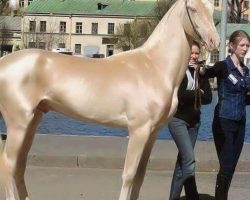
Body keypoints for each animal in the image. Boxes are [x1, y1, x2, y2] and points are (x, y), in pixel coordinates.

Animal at [0, 0, 218, 199]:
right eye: (192, 8)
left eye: (210, 7)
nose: (214, 41)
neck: (154, 66)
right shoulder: (139, 130)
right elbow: (129, 176)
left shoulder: (152, 133)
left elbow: (139, 178)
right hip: (19, 123)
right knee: (8, 164)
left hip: (33, 121)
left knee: (19, 165)